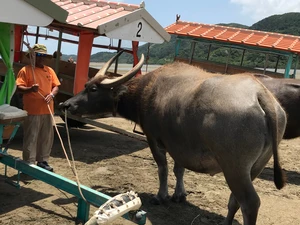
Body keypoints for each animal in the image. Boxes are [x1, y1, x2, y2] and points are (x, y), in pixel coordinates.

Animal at [59, 51, 288, 225]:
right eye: (87, 84)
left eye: (93, 89)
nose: (66, 104)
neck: (147, 90)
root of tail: (261, 95)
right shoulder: (180, 145)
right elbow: (179, 169)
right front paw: (179, 195)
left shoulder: (154, 138)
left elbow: (163, 168)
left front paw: (161, 196)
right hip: (255, 167)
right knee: (235, 199)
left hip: (235, 167)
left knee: (250, 202)